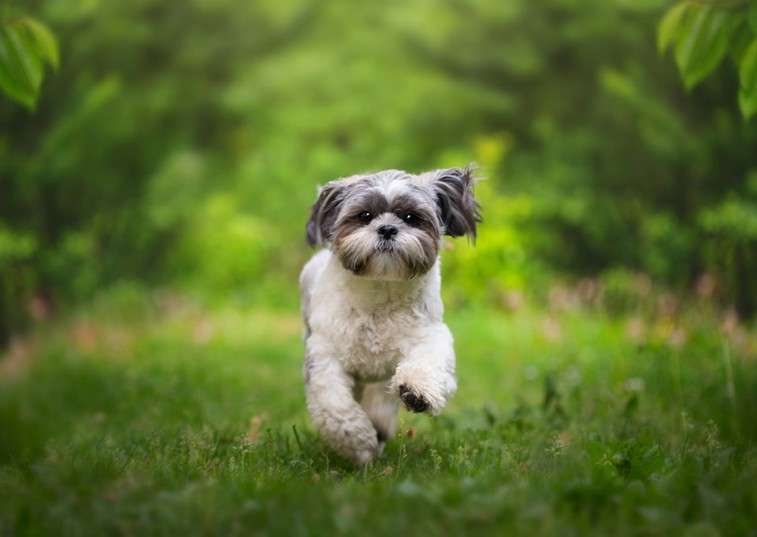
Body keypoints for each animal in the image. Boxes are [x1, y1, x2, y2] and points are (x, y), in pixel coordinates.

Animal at [300, 165, 478, 462]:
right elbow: (335, 405)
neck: (379, 294)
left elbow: (428, 362)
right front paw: (357, 441)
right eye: (365, 216)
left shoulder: (431, 335)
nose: (387, 228)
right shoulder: (324, 355)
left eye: (410, 217)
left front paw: (416, 391)